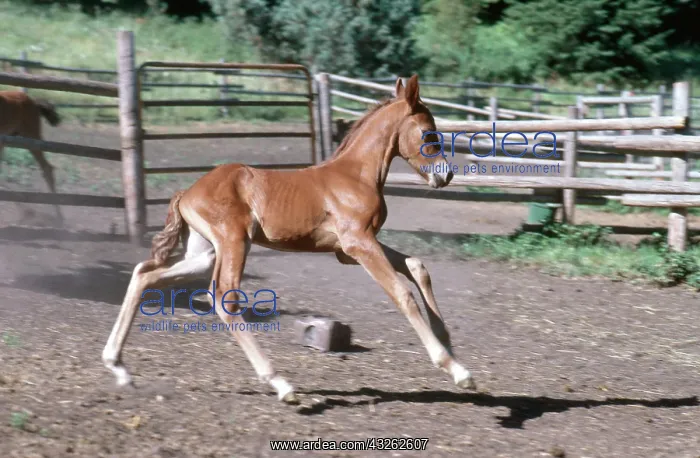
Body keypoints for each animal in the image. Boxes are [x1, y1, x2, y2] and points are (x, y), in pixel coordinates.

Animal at [102, 75, 476, 405]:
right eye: (428, 132)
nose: (446, 175)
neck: (355, 175)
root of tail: (187, 193)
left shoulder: (348, 249)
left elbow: (417, 265)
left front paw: (449, 343)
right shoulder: (358, 243)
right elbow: (402, 292)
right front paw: (456, 369)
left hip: (204, 253)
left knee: (145, 275)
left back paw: (117, 367)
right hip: (234, 241)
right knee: (223, 297)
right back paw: (281, 384)